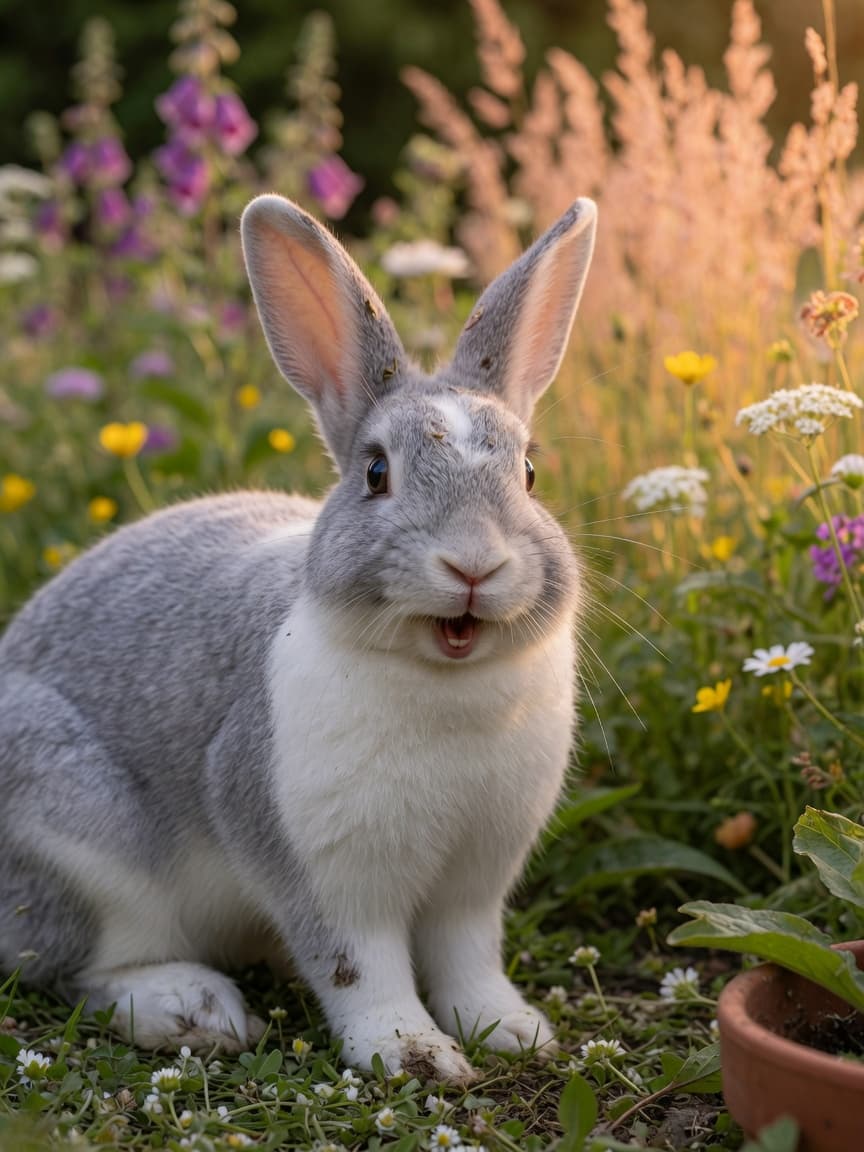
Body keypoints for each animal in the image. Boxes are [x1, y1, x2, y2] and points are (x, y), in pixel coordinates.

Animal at [0, 192, 596, 1083]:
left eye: (528, 474)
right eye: (376, 473)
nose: (474, 563)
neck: (443, 679)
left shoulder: (476, 878)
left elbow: (469, 960)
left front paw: (512, 1030)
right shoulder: (321, 866)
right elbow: (358, 967)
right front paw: (413, 1054)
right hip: (79, 847)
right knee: (81, 966)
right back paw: (190, 1009)